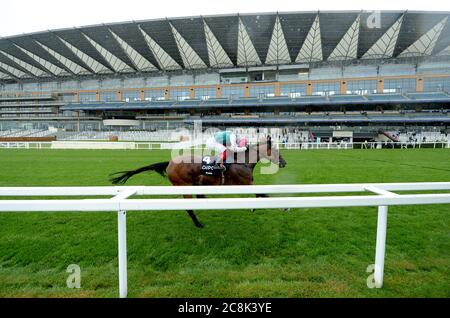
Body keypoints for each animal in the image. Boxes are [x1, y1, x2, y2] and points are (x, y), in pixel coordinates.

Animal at [110, 138, 284, 227]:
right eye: (276, 151)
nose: (284, 163)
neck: (241, 161)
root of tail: (170, 163)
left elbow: (260, 194)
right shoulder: (245, 183)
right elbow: (263, 194)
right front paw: (282, 206)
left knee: (198, 196)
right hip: (184, 185)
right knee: (189, 207)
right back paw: (198, 223)